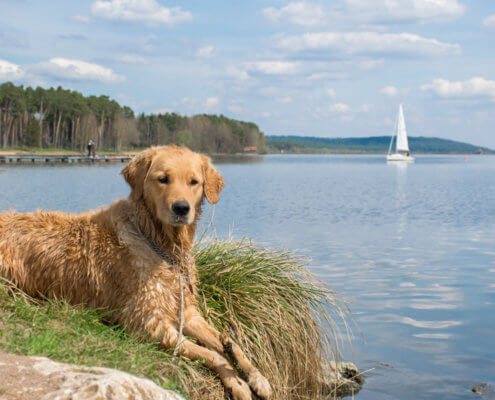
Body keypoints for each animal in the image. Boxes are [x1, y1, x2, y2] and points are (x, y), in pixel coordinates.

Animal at [0, 146, 272, 400]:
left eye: (194, 182)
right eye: (163, 179)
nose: (181, 208)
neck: (161, 244)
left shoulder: (187, 311)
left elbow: (230, 344)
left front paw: (257, 378)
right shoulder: (148, 322)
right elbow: (212, 354)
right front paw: (238, 383)